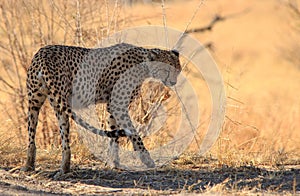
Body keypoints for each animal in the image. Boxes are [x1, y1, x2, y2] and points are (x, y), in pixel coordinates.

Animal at [22, 42, 180, 175]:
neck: (143, 63)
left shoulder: (112, 107)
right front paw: (146, 160)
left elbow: (114, 134)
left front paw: (114, 162)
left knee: (40, 135)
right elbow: (133, 134)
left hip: (43, 102)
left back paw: (46, 167)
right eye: (167, 69)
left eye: (177, 70)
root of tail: (44, 53)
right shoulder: (117, 105)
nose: (173, 82)